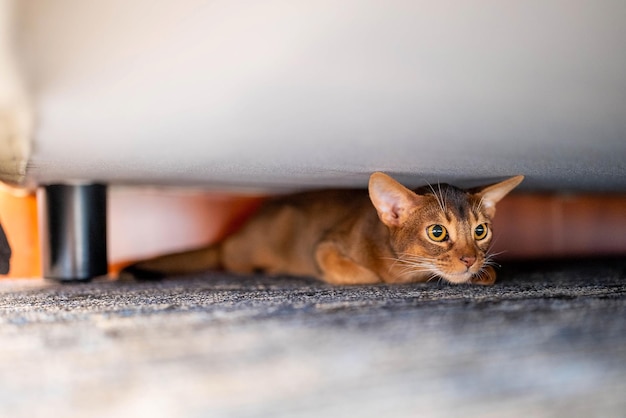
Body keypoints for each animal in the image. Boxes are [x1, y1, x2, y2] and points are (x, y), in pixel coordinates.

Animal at [122, 171, 520, 286]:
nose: (469, 259)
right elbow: (365, 276)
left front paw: (482, 273)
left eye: (481, 231)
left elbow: (490, 274)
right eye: (437, 233)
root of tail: (231, 237)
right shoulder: (325, 245)